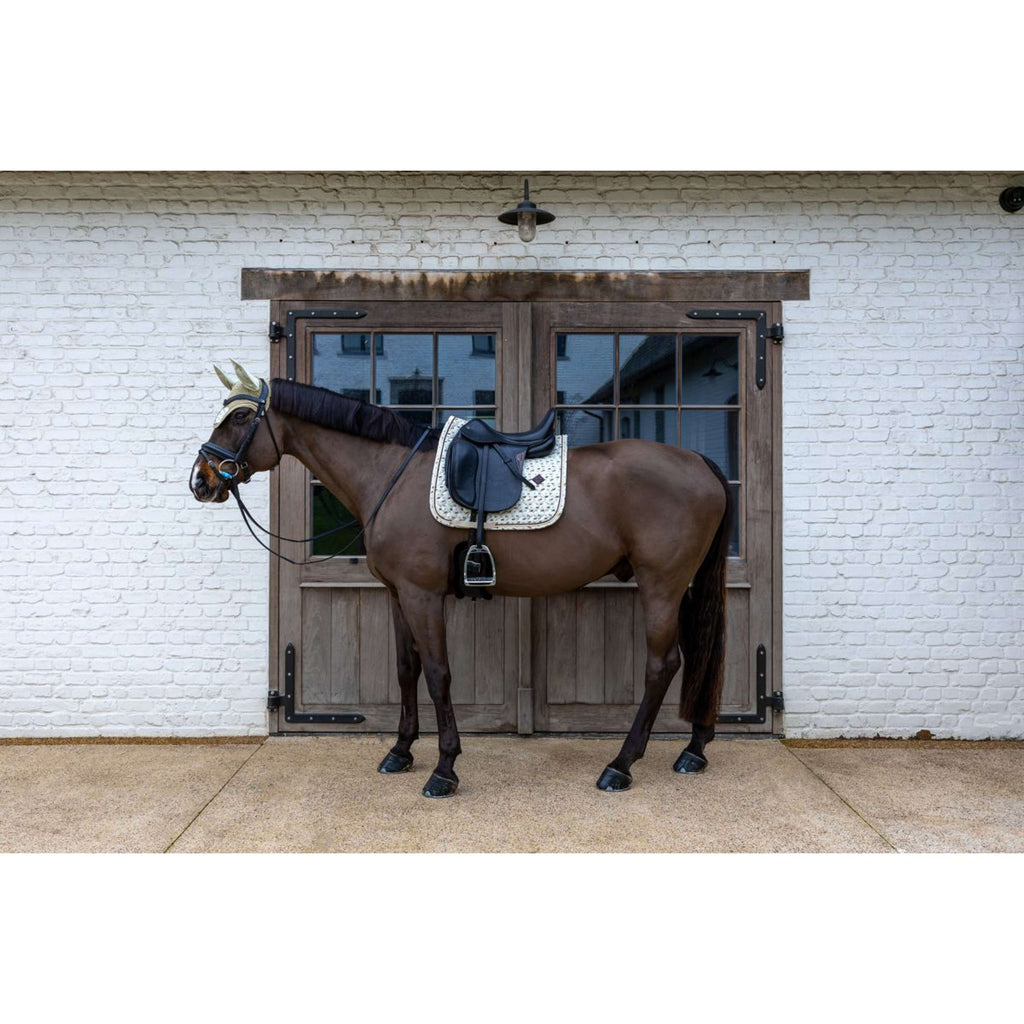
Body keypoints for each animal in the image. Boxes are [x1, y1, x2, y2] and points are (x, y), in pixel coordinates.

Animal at [190, 362, 731, 798]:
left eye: (240, 418)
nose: (202, 480)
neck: (391, 474)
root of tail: (700, 463)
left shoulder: (423, 595)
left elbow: (437, 674)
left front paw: (444, 769)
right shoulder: (397, 594)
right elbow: (406, 669)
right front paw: (401, 751)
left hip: (661, 585)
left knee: (662, 665)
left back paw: (621, 764)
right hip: (681, 587)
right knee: (701, 654)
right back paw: (694, 749)